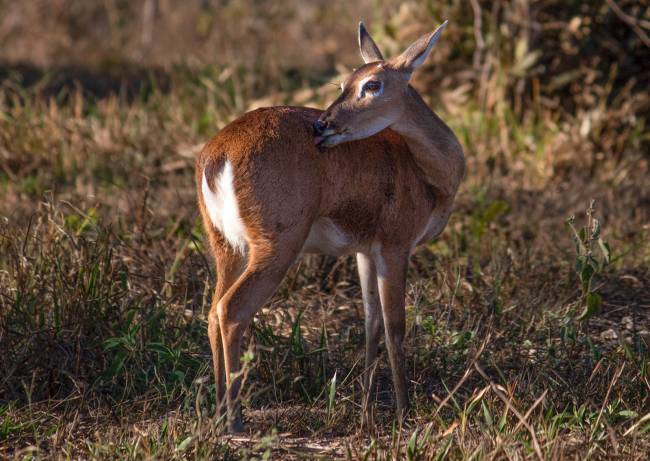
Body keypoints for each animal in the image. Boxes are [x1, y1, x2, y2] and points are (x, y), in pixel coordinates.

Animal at [195, 20, 464, 432]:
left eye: (370, 84)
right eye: (344, 84)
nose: (323, 124)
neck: (429, 176)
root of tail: (218, 154)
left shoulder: (365, 251)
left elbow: (370, 324)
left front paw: (367, 409)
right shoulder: (395, 245)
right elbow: (395, 327)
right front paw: (404, 413)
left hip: (225, 244)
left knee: (211, 312)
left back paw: (219, 413)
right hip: (276, 245)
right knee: (231, 311)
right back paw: (235, 420)